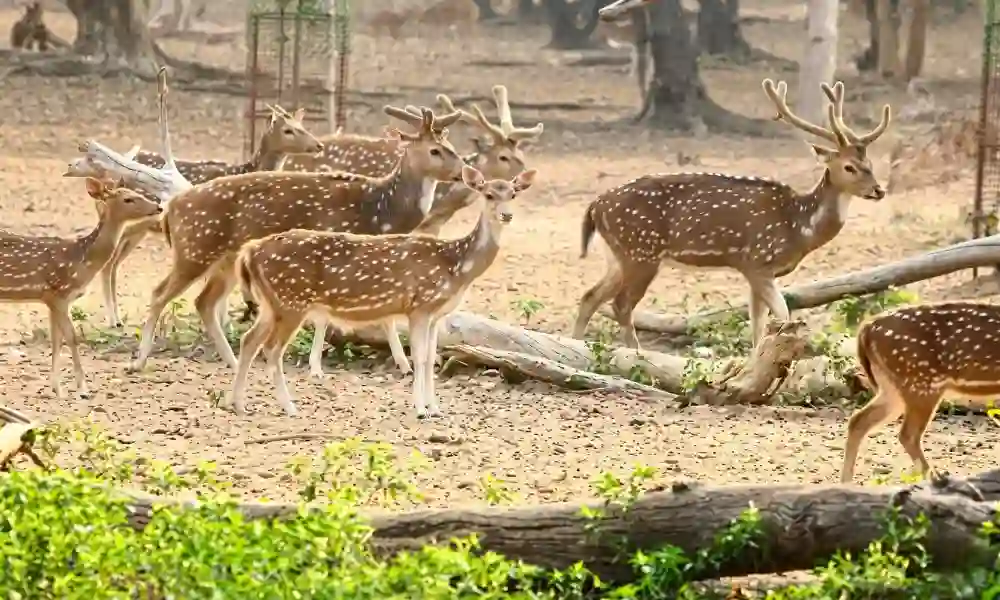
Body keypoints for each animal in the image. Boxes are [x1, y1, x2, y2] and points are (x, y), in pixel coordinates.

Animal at [0, 178, 161, 399]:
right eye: (128, 199)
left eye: (139, 193)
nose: (158, 206)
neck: (81, 261)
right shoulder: (57, 293)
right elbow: (72, 338)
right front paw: (83, 389)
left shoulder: (53, 299)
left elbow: (56, 339)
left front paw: (57, 388)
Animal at [126, 107, 468, 375]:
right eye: (435, 150)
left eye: (450, 144)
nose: (464, 171)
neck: (377, 212)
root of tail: (171, 208)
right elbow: (326, 317)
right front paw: (316, 367)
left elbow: (384, 317)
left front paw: (404, 364)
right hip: (194, 249)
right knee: (159, 293)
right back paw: (139, 360)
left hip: (225, 261)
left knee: (204, 302)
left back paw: (234, 362)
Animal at [230, 164, 537, 418]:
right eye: (488, 194)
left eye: (513, 193)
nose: (506, 215)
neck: (456, 266)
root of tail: (250, 252)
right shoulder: (419, 306)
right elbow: (420, 357)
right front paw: (421, 409)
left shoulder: (436, 314)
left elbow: (431, 360)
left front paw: (436, 408)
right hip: (291, 300)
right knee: (271, 349)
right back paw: (289, 407)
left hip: (272, 304)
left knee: (249, 340)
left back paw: (238, 404)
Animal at [572, 78, 891, 350]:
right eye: (849, 166)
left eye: (871, 163)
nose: (879, 190)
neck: (799, 226)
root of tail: (596, 205)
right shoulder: (755, 261)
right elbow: (783, 316)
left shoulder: (760, 272)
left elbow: (758, 325)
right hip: (641, 252)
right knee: (621, 305)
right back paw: (635, 355)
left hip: (617, 256)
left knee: (589, 297)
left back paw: (575, 348)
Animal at [841, 302, 1000, 483]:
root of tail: (866, 329)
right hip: (921, 382)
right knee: (908, 434)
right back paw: (937, 479)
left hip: (891, 387)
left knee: (858, 420)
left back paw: (846, 483)